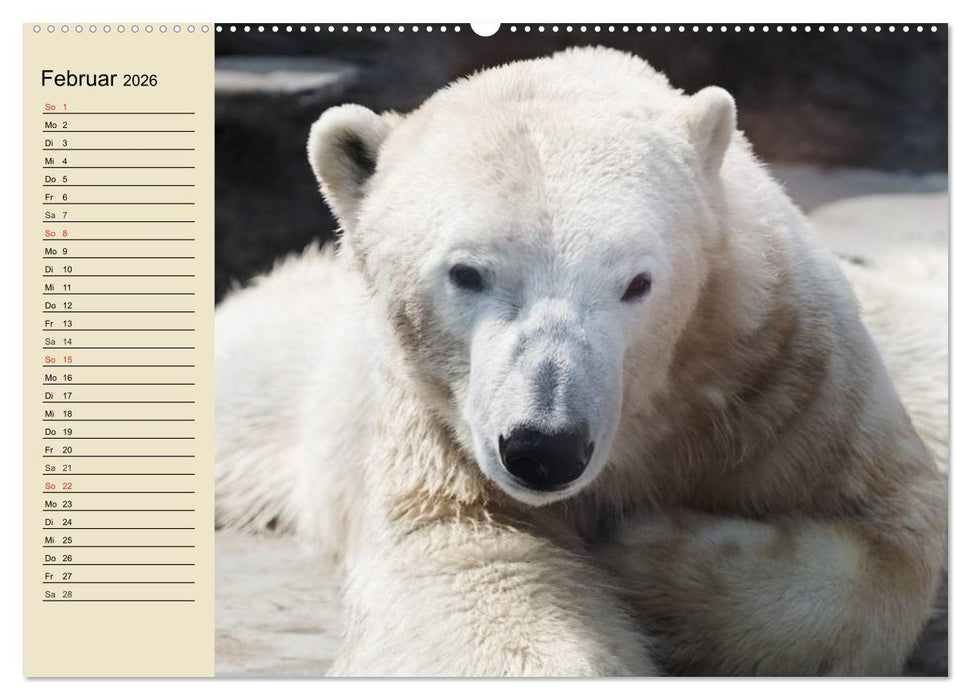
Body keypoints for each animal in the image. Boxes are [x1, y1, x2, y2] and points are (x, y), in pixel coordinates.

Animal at [215, 47, 947, 676]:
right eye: (466, 272)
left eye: (637, 282)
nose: (545, 448)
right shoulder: (437, 438)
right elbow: (474, 570)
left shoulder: (786, 376)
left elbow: (893, 537)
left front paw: (641, 550)